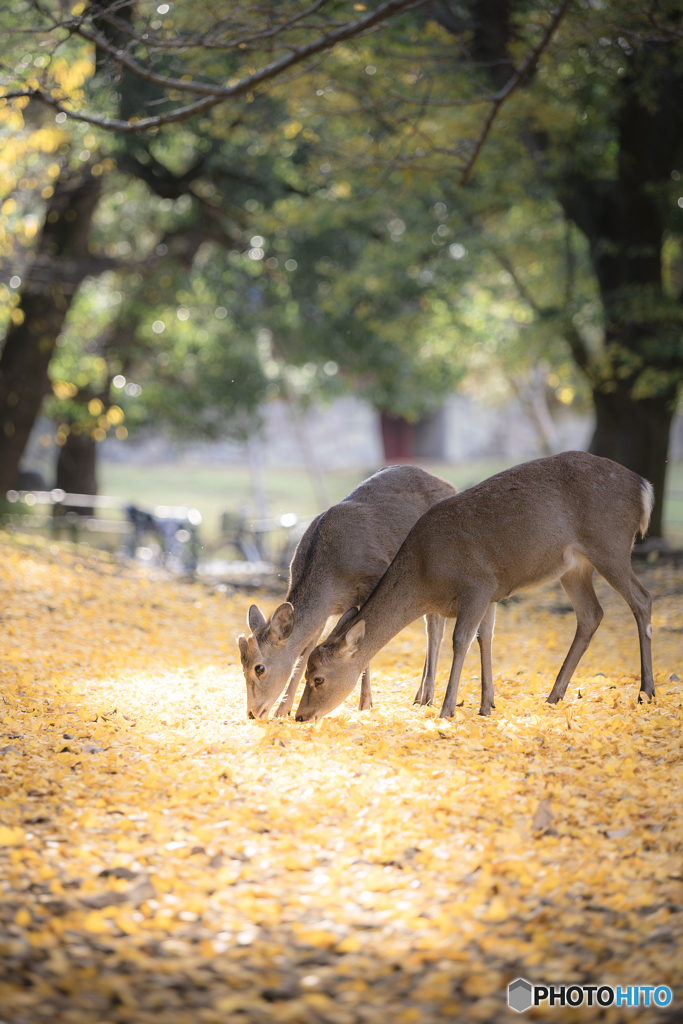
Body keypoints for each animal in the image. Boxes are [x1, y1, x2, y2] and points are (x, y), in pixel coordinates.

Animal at [237, 464, 456, 720]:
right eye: (242, 666)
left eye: (259, 668)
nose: (252, 713)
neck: (333, 579)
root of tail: (450, 485)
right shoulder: (325, 614)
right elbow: (306, 651)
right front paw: (283, 711)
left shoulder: (374, 581)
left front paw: (366, 704)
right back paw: (419, 695)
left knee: (434, 627)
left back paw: (426, 698)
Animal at [294, 452, 655, 724]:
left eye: (318, 678)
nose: (299, 715)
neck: (425, 578)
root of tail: (644, 487)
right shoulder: (492, 593)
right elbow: (484, 638)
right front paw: (484, 706)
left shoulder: (479, 584)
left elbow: (461, 640)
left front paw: (447, 709)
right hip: (575, 567)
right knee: (591, 614)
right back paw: (554, 695)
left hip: (610, 543)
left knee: (642, 599)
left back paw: (647, 692)